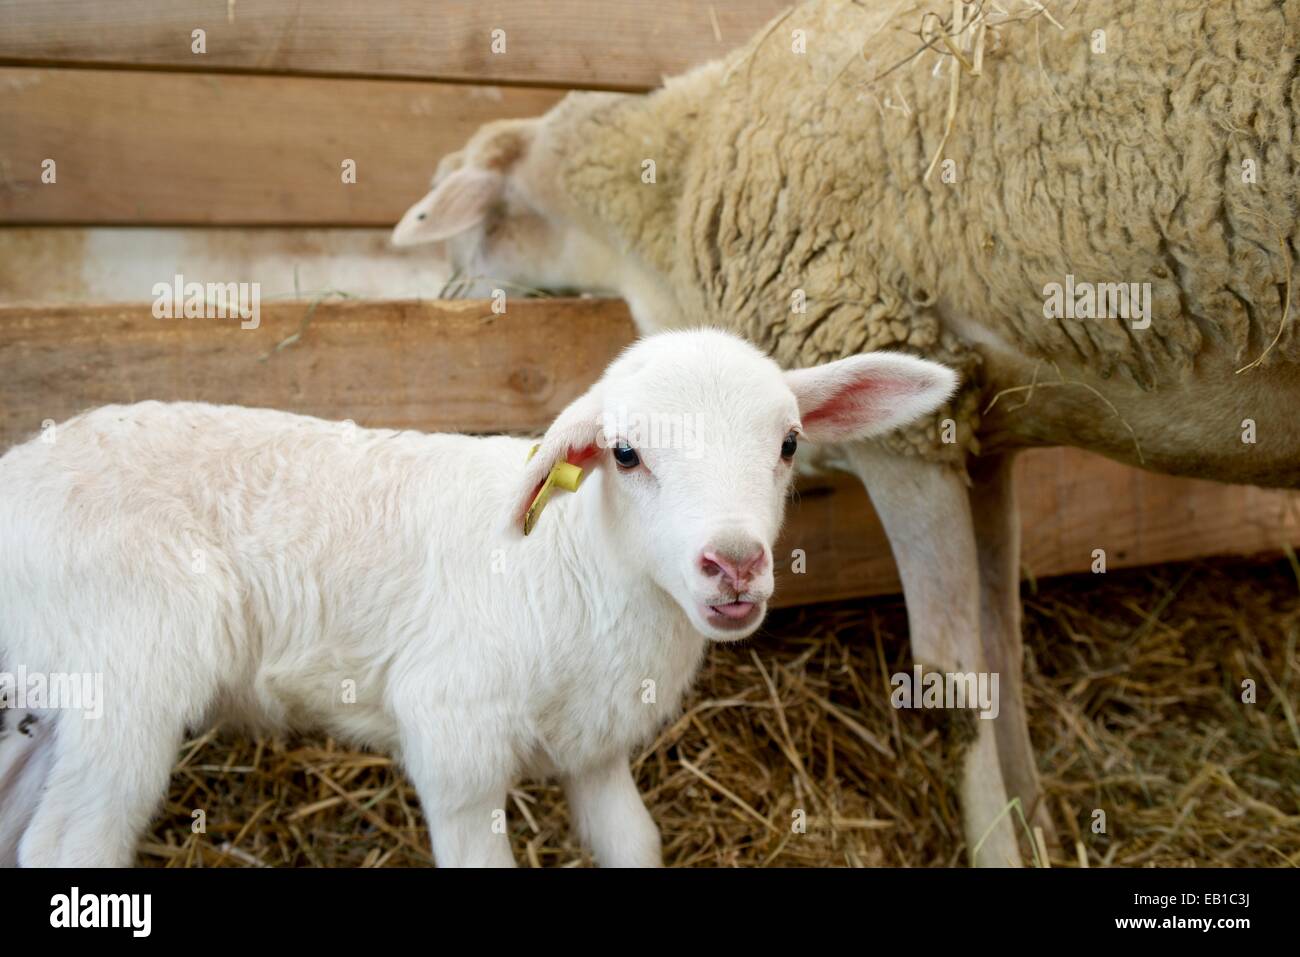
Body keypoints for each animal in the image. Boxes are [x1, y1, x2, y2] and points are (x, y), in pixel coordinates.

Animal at [0, 328, 955, 867]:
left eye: (789, 442)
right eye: (626, 453)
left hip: (60, 684)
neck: (583, 566)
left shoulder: (597, 749)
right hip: (131, 670)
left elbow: (636, 844)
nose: (734, 564)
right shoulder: (454, 738)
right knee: (64, 844)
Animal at [392, 0, 1300, 866]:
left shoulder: (902, 421)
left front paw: (998, 847)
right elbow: (1001, 651)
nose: (447, 292)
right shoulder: (981, 429)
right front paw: (1039, 829)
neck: (674, 192)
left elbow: (952, 679)